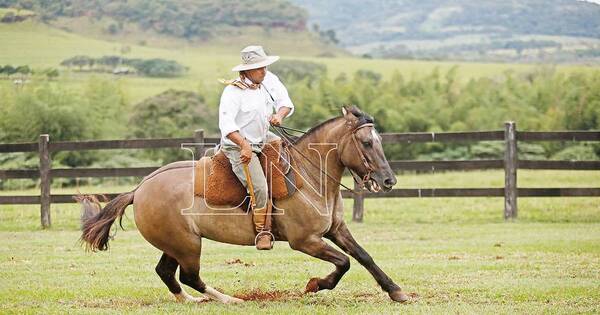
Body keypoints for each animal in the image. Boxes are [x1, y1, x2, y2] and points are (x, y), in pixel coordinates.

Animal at [78, 107, 408, 306]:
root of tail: (139, 189)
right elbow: (344, 262)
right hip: (187, 245)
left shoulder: (336, 229)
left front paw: (396, 291)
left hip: (175, 244)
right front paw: (315, 284)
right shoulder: (305, 241)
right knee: (189, 276)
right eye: (367, 143)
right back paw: (230, 300)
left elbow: (363, 256)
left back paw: (192, 301)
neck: (308, 174)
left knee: (167, 273)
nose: (388, 180)